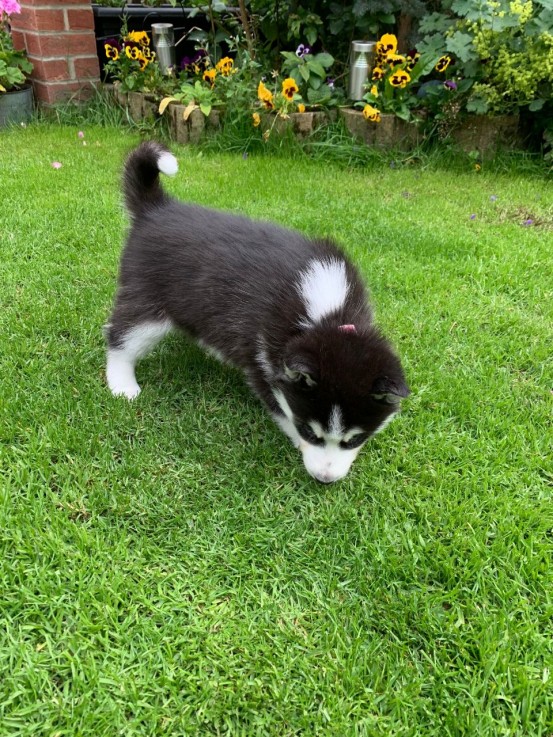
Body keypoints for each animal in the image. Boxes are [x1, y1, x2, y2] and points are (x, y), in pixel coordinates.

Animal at [105, 142, 408, 484]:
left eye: (354, 439)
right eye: (310, 432)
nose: (324, 479)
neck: (327, 314)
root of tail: (156, 208)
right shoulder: (262, 359)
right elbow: (279, 405)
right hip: (148, 305)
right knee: (121, 337)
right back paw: (122, 383)